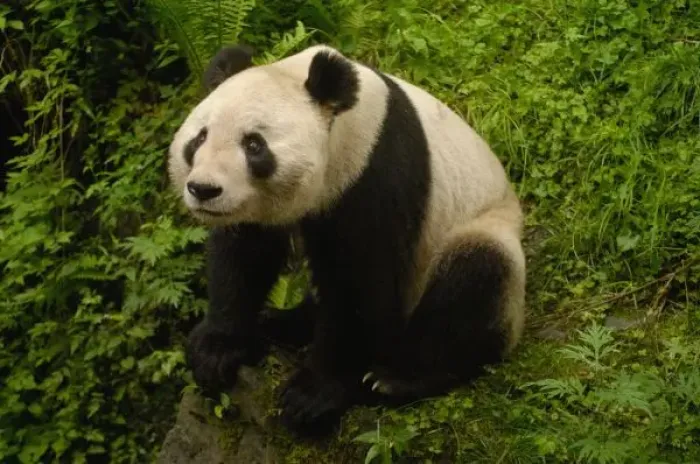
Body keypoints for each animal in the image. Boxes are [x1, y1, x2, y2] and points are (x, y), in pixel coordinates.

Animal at [168, 43, 526, 436]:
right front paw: (216, 350)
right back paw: (283, 322)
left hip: (482, 233)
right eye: (199, 137)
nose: (204, 189)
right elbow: (243, 255)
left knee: (474, 282)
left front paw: (312, 396)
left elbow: (360, 282)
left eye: (254, 145)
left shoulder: (373, 173)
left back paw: (397, 379)